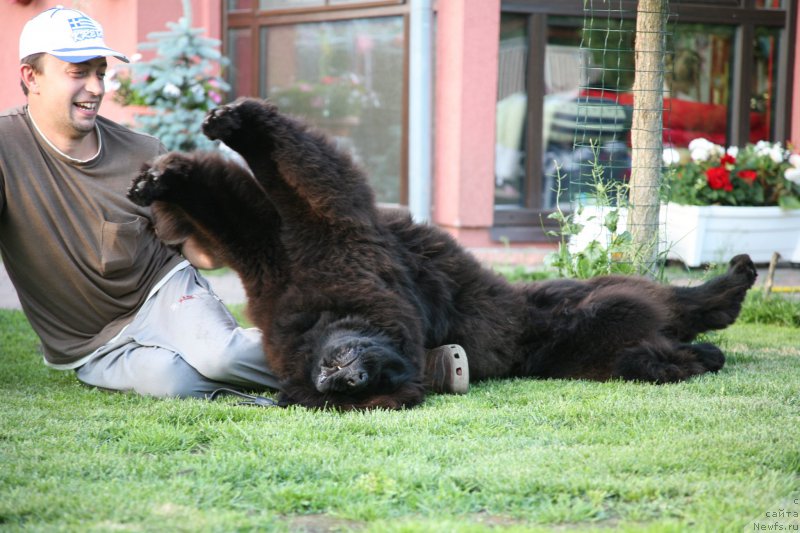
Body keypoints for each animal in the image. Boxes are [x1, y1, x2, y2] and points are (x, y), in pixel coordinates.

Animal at [128, 97, 760, 410]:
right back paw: (709, 339)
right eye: (342, 389)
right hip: (598, 319)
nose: (344, 379)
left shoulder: (325, 239)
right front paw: (166, 176)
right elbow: (244, 205)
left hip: (587, 305)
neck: (325, 314)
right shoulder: (279, 263)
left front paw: (226, 132)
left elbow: (292, 181)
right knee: (671, 336)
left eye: (358, 379)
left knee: (680, 308)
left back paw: (734, 282)